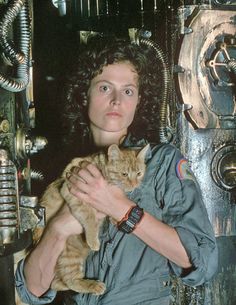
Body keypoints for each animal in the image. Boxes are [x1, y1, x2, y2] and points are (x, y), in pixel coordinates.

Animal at [34, 144, 148, 296]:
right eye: (124, 174)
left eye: (139, 174)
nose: (134, 184)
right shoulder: (71, 190)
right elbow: (89, 216)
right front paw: (93, 240)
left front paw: (114, 217)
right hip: (70, 257)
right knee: (70, 281)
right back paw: (93, 285)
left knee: (56, 284)